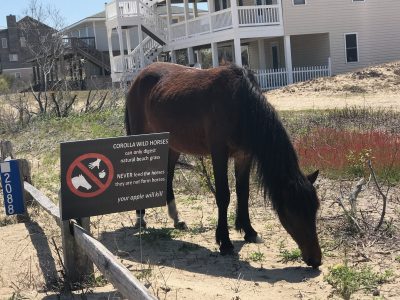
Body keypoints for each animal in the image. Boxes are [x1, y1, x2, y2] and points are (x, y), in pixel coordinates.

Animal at [125, 62, 322, 268]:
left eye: (315, 209)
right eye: (292, 214)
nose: (316, 260)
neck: (239, 103)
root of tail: (139, 77)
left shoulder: (244, 156)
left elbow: (243, 193)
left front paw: (249, 231)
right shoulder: (219, 153)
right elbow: (223, 195)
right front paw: (225, 242)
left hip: (172, 145)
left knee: (169, 175)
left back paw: (177, 220)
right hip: (139, 137)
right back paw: (140, 217)